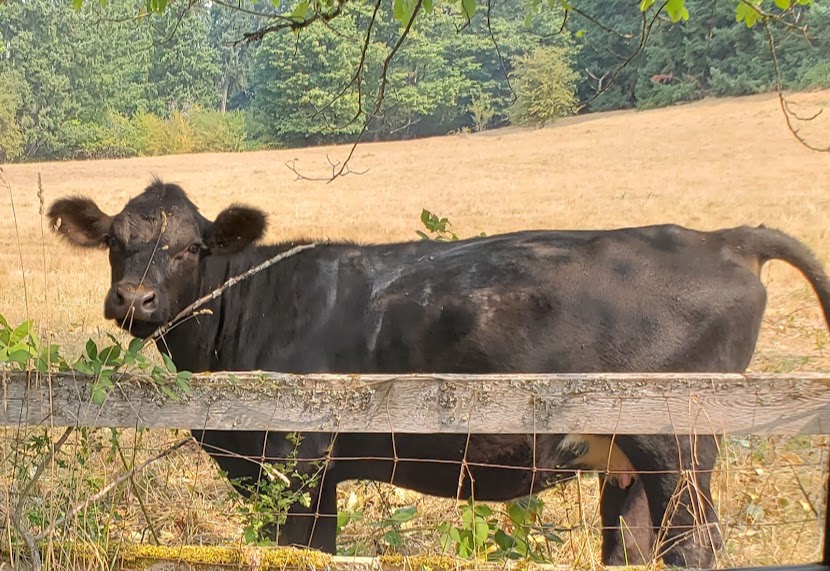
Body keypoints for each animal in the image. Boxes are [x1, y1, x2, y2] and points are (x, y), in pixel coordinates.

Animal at [48, 179, 830, 567]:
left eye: (192, 247)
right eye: (116, 240)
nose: (135, 299)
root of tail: (722, 239)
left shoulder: (297, 462)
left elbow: (301, 552)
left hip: (679, 445)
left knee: (694, 545)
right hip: (627, 461)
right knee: (638, 550)